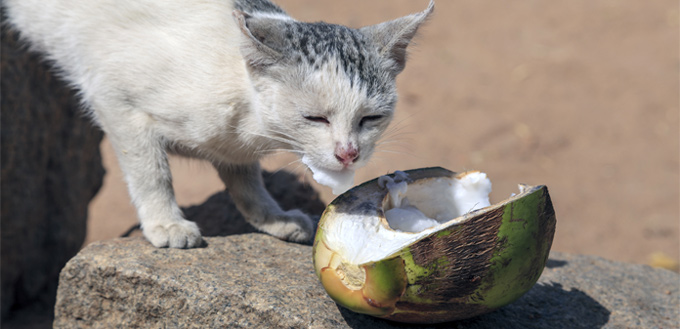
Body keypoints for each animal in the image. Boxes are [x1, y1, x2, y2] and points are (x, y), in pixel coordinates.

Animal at [2, 0, 432, 246]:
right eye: (314, 118)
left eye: (371, 119)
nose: (348, 153)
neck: (248, 123)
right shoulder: (113, 100)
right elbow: (150, 172)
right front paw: (165, 223)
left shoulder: (234, 147)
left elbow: (246, 181)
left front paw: (271, 218)